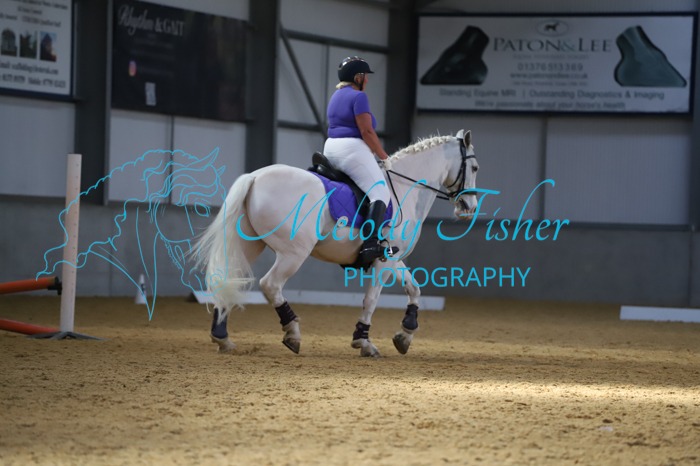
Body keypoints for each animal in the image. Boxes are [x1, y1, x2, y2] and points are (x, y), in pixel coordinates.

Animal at [194, 130, 480, 357]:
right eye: (475, 168)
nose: (469, 207)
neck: (404, 188)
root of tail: (254, 177)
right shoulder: (383, 260)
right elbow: (371, 300)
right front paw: (364, 342)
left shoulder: (392, 257)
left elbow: (414, 289)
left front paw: (405, 334)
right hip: (294, 252)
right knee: (270, 285)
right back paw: (292, 333)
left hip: (249, 245)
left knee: (230, 279)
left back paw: (223, 338)